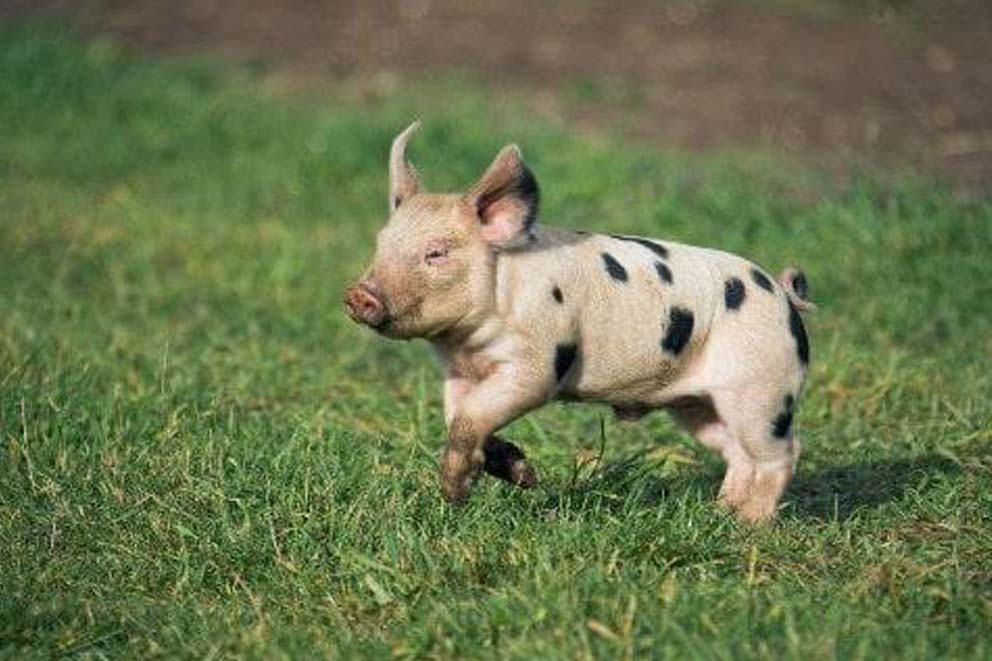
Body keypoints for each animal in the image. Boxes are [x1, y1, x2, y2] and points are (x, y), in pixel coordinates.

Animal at [345, 122, 813, 522]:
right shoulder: (461, 372)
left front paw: (455, 493)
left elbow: (472, 416)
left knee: (782, 452)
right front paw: (522, 474)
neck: (467, 341)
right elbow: (458, 414)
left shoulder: (536, 363)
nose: (359, 294)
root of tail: (784, 298)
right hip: (700, 406)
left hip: (761, 389)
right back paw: (721, 513)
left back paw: (751, 525)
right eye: (381, 244)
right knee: (737, 453)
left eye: (436, 253)